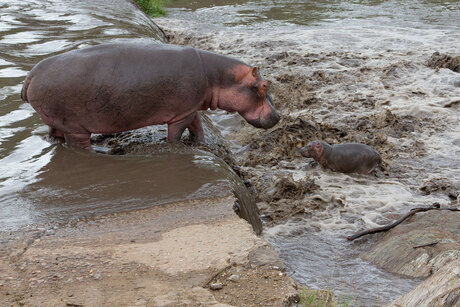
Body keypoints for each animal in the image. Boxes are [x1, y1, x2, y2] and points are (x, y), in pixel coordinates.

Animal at [22, 42, 280, 150]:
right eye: (264, 85)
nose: (278, 116)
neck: (218, 77)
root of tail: (31, 75)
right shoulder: (181, 113)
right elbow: (176, 133)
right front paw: (177, 146)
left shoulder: (190, 107)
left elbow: (197, 125)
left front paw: (200, 144)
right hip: (75, 127)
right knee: (78, 147)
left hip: (56, 121)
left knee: (54, 137)